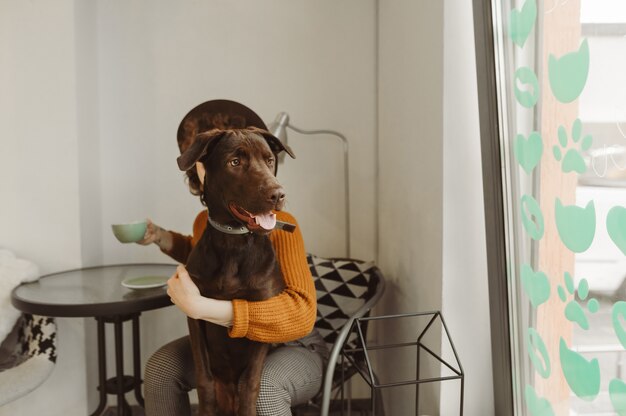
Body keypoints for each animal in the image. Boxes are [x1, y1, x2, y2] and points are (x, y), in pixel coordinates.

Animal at [176, 127, 292, 416]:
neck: (233, 242)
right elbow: (204, 378)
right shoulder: (195, 314)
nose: (278, 194)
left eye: (269, 160)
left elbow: (250, 382)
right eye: (235, 162)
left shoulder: (265, 316)